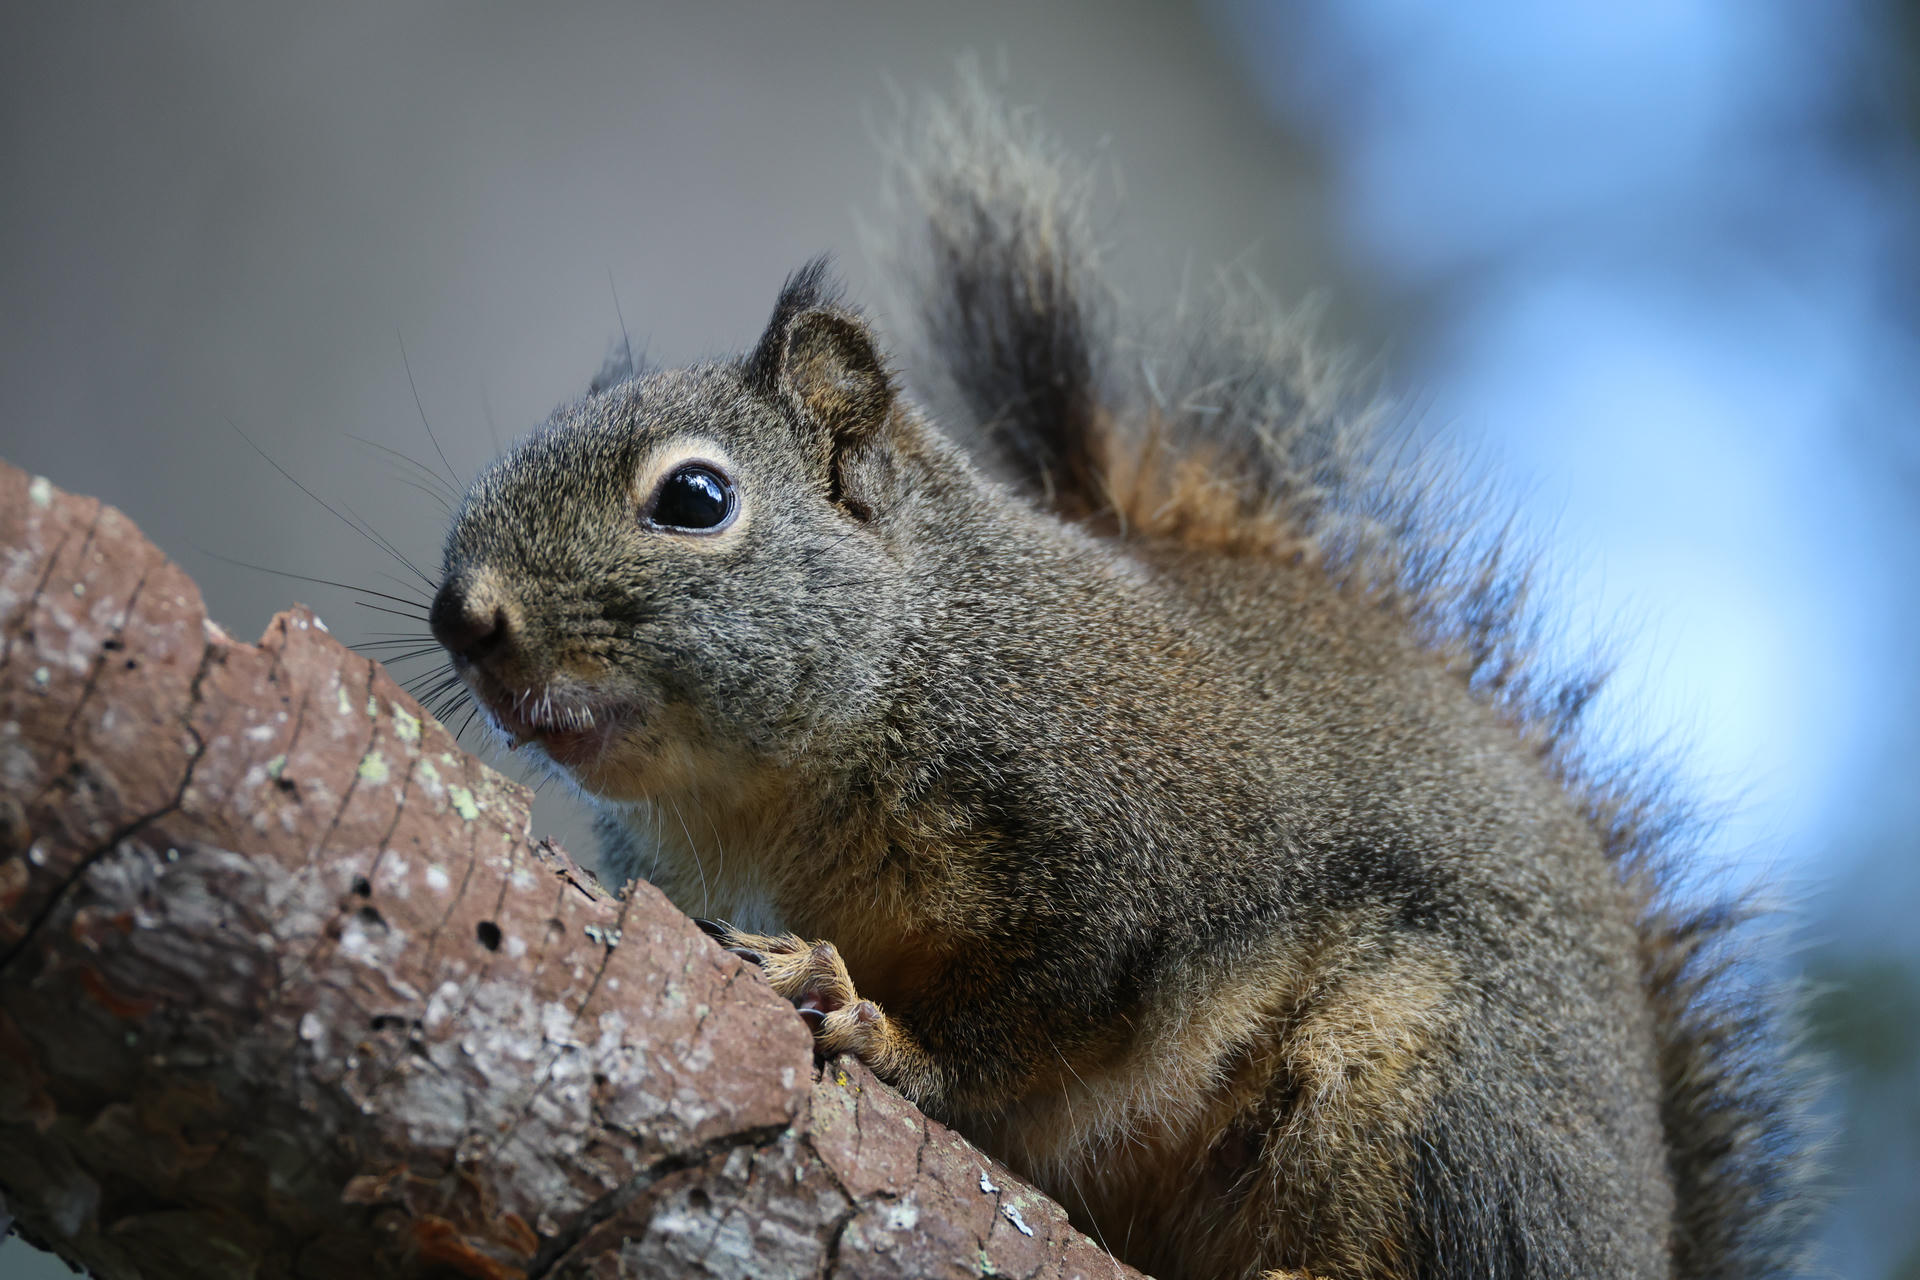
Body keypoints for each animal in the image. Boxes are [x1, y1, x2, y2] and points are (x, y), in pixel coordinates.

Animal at [426, 82, 1815, 1280]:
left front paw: (865, 1014)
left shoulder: (1134, 879)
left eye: (696, 498)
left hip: (1437, 1087)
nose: (465, 617)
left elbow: (1028, 1025)